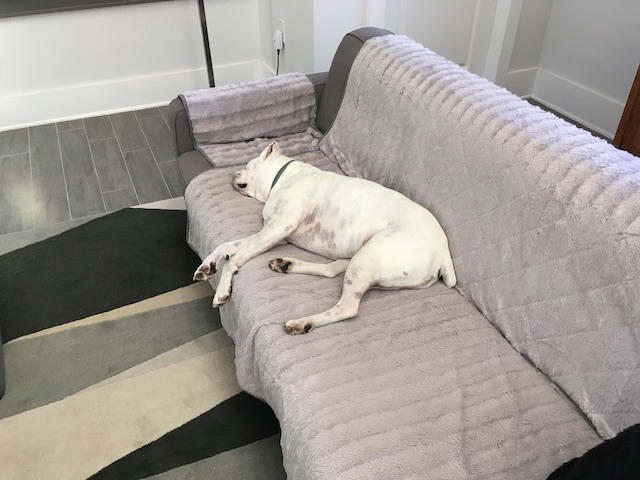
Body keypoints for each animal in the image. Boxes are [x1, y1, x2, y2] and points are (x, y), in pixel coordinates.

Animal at [193, 141, 456, 334]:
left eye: (248, 166)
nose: (233, 174)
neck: (285, 176)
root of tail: (444, 253)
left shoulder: (278, 228)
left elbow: (234, 259)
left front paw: (222, 290)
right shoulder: (274, 234)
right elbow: (227, 246)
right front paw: (207, 265)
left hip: (369, 256)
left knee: (347, 307)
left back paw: (302, 322)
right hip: (360, 256)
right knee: (332, 270)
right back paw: (287, 265)